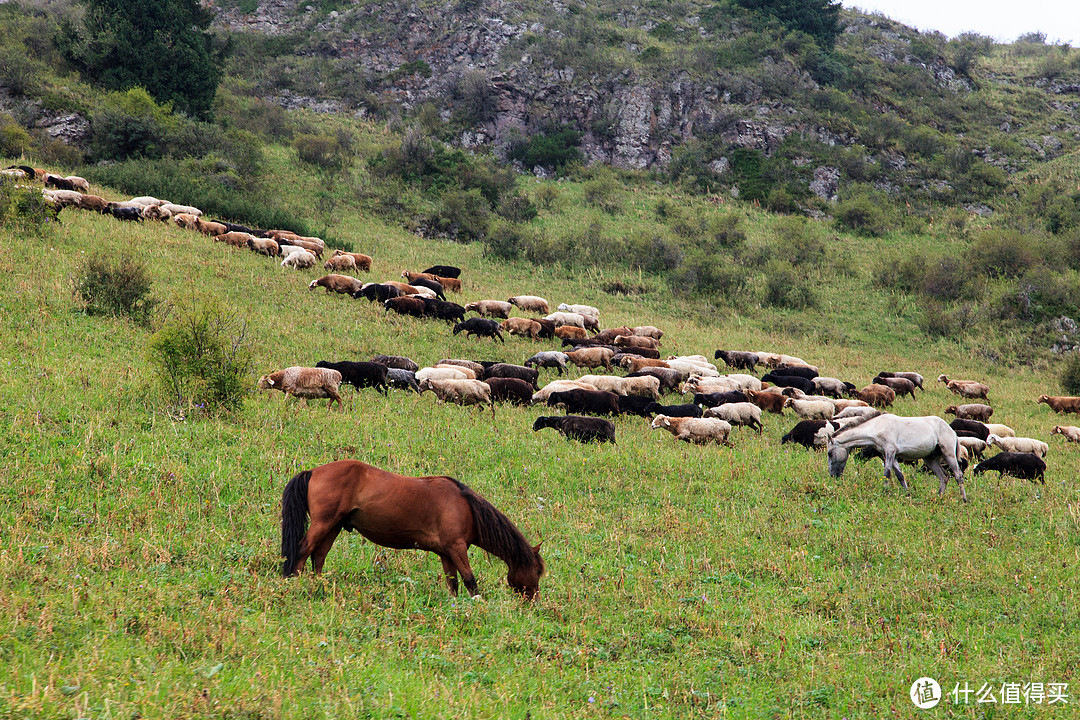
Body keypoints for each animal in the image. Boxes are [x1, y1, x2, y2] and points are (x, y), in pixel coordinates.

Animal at [282, 462, 544, 604]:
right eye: (537, 572)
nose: (533, 602)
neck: (465, 507)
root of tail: (313, 471)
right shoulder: (457, 548)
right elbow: (471, 582)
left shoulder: (447, 554)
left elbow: (453, 585)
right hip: (323, 524)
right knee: (303, 551)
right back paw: (296, 585)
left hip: (333, 526)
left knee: (318, 557)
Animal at [820, 408, 967, 505]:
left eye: (829, 453)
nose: (833, 475)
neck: (877, 427)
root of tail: (951, 430)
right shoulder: (891, 455)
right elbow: (900, 475)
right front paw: (907, 494)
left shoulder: (889, 451)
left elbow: (887, 473)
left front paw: (884, 492)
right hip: (930, 459)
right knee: (944, 477)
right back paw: (938, 497)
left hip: (949, 454)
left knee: (958, 475)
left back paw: (964, 499)